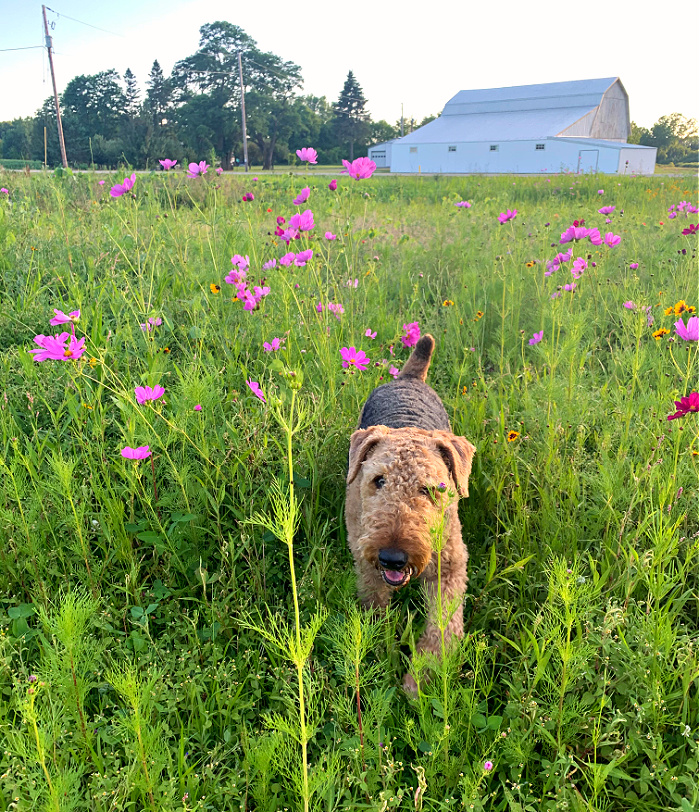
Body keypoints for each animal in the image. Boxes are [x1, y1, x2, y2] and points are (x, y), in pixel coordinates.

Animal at [344, 334, 476, 692]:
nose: (393, 557)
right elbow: (375, 605)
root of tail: (408, 377)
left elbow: (443, 627)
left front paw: (421, 681)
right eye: (378, 480)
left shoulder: (450, 568)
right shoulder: (365, 560)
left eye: (432, 489)